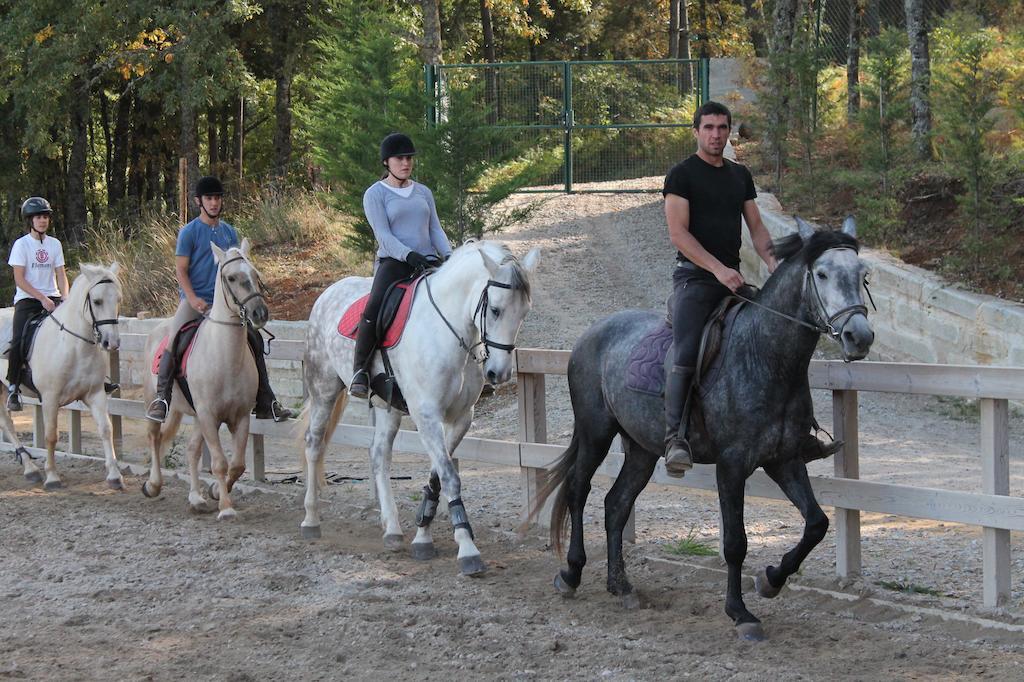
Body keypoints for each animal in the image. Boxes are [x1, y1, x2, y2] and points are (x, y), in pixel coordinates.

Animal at [0, 261, 122, 489]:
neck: (74, 346)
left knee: (6, 422)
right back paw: (32, 469)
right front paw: (52, 477)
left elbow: (106, 429)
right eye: (97, 301)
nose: (112, 343)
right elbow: (50, 436)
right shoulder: (50, 398)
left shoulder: (95, 394)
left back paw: (31, 469)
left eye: (118, 299)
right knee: (7, 422)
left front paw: (114, 476)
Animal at [140, 240, 268, 520]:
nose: (260, 313)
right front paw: (227, 509)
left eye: (255, 274)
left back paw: (196, 498)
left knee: (191, 449)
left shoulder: (240, 416)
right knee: (154, 437)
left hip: (197, 415)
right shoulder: (209, 415)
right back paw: (153, 485)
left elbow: (237, 465)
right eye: (231, 277)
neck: (224, 358)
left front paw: (217, 493)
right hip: (155, 401)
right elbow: (220, 463)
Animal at [301, 238, 540, 573]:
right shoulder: (426, 415)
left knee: (379, 454)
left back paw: (392, 529)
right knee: (314, 444)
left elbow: (437, 475)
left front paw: (423, 533)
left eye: (524, 312)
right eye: (495, 309)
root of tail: (328, 292)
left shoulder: (460, 418)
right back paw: (311, 520)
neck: (449, 331)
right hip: (324, 388)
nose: (499, 373)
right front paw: (467, 547)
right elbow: (450, 476)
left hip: (387, 407)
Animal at [532, 220, 876, 638]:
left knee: (616, 504)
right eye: (822, 274)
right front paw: (740, 612)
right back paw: (571, 574)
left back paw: (621, 586)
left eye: (862, 275)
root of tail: (590, 335)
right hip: (595, 433)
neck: (764, 355)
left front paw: (771, 580)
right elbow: (735, 543)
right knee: (578, 490)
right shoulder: (732, 465)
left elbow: (817, 523)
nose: (859, 336)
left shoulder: (784, 460)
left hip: (641, 450)